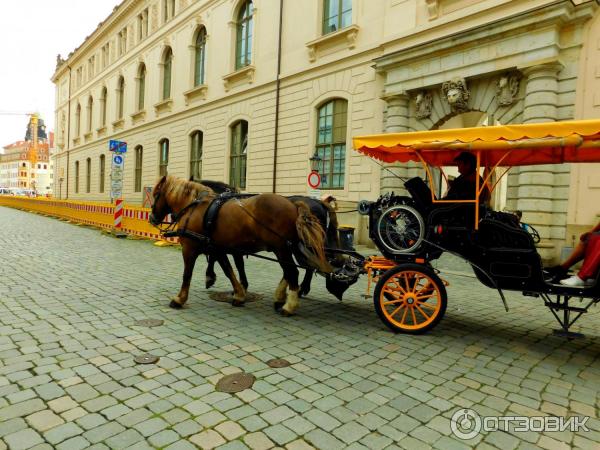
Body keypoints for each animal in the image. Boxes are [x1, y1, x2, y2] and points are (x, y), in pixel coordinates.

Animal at [148, 174, 330, 314]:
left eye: (156, 194)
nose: (151, 218)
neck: (195, 207)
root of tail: (294, 204)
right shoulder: (219, 248)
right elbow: (229, 271)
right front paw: (239, 294)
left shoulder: (189, 248)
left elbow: (187, 274)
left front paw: (179, 299)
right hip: (290, 248)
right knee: (293, 270)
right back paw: (283, 297)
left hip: (282, 248)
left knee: (293, 272)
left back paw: (289, 305)